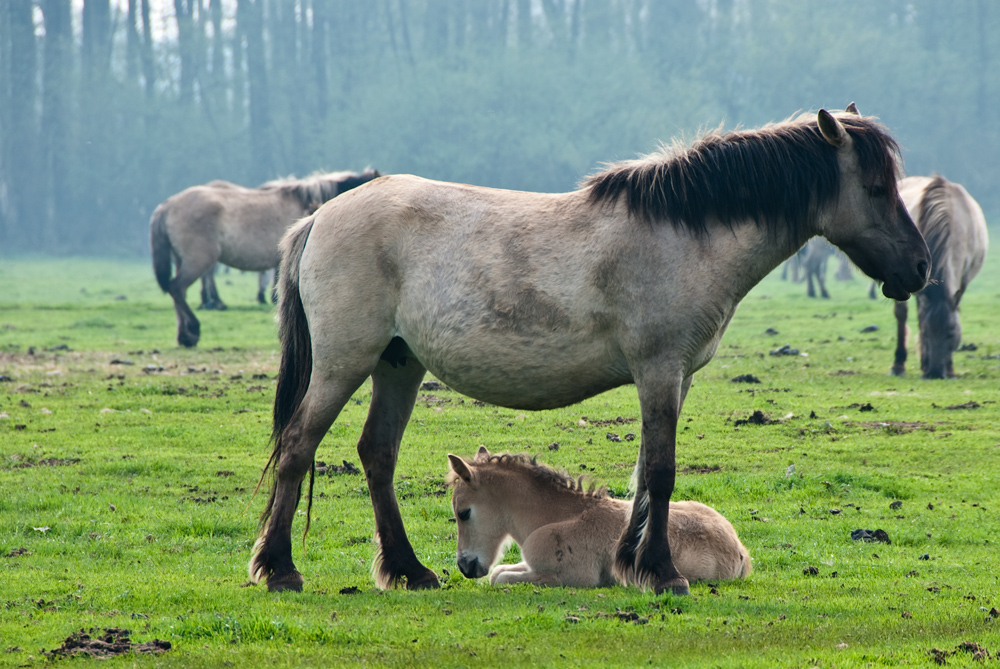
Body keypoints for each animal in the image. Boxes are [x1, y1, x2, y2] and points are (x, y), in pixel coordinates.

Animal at [150, 167, 380, 348]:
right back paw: (194, 329)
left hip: (182, 260)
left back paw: (185, 335)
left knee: (178, 292)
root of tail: (167, 206)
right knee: (178, 287)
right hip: (198, 260)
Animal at [448, 448, 752, 584]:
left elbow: (498, 578)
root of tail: (740, 551)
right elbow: (499, 571)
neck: (556, 517)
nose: (465, 567)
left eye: (464, 513)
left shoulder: (572, 577)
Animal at [892, 175, 984, 378]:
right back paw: (899, 364)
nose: (935, 373)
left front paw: (948, 367)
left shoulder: (962, 281)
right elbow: (921, 319)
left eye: (951, 334)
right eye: (928, 334)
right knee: (902, 315)